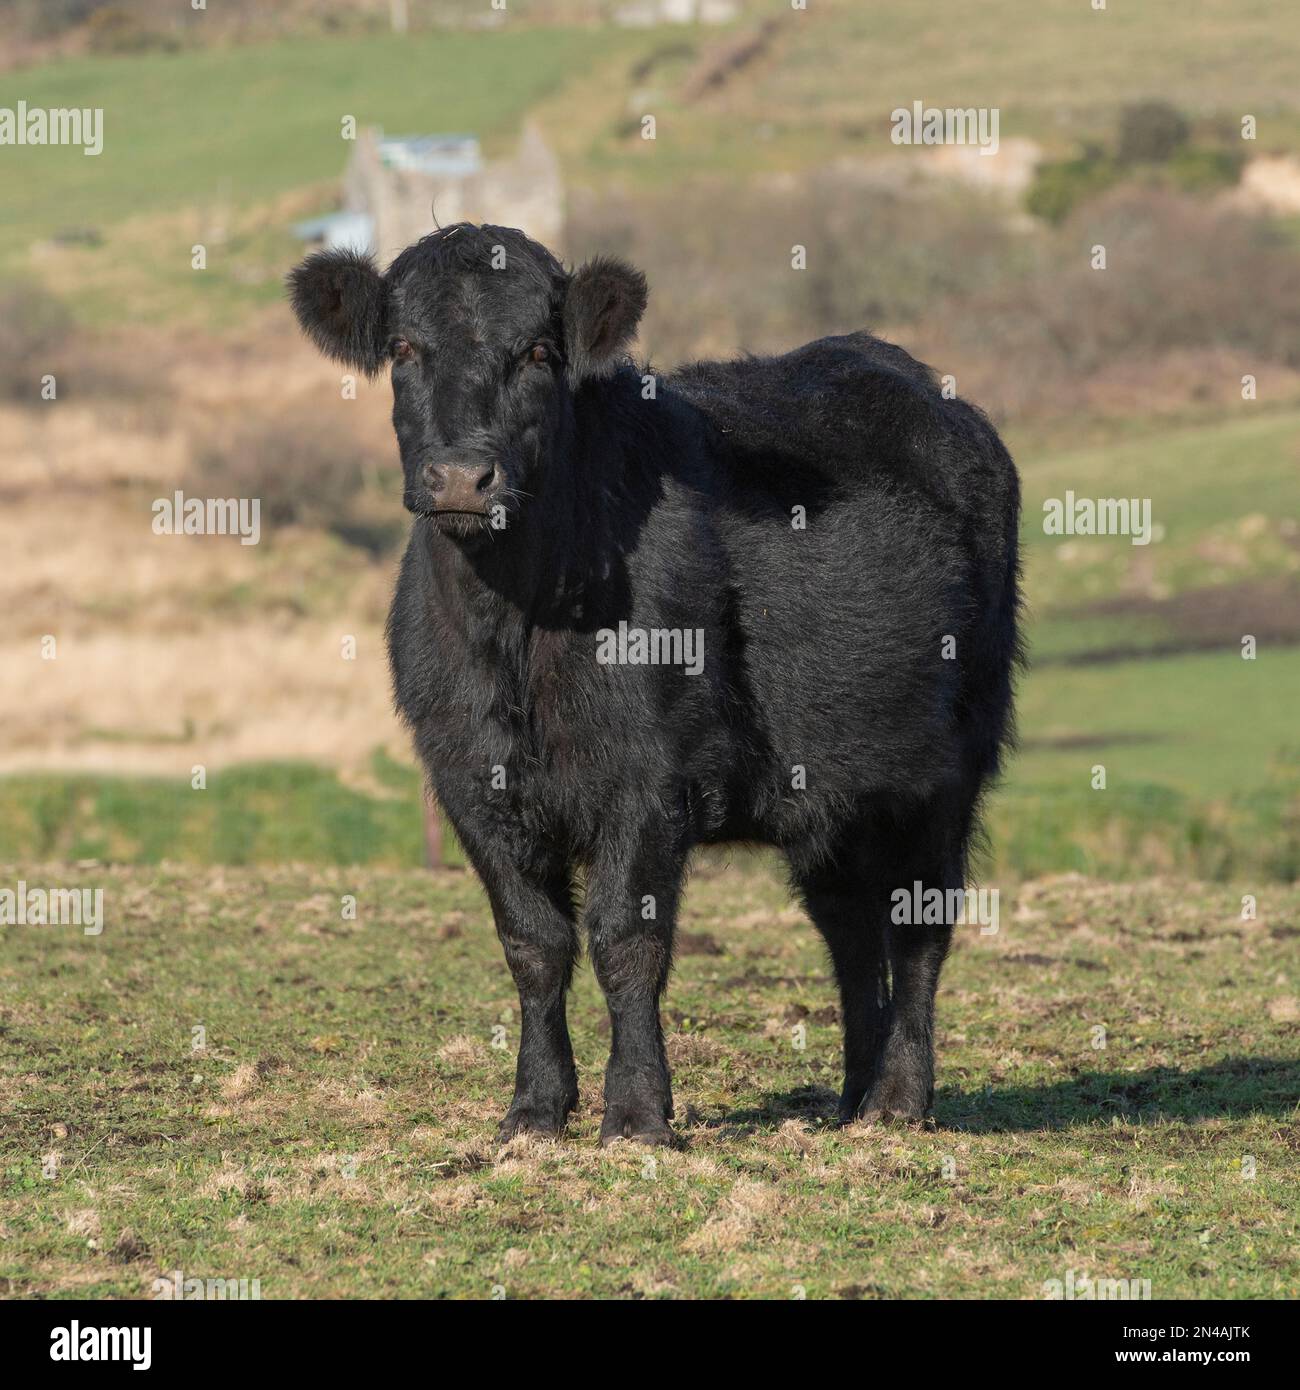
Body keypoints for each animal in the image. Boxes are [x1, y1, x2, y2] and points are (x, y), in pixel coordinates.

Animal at [289, 222, 1023, 1145]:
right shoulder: (467, 780)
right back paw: (851, 1100)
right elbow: (532, 942)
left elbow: (623, 940)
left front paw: (637, 1114)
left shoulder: (649, 778)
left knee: (917, 923)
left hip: (948, 766)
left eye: (538, 351)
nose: (461, 479)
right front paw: (534, 1110)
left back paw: (898, 1101)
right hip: (829, 789)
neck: (515, 627)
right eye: (402, 348)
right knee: (848, 927)